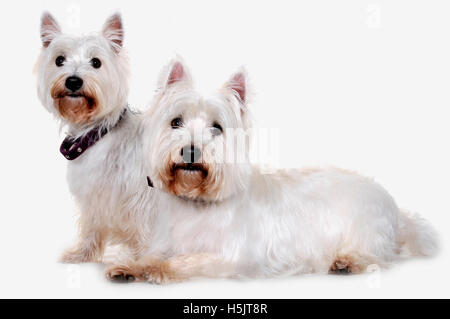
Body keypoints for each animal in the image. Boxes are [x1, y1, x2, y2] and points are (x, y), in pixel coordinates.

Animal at [36, 11, 152, 262]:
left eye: (96, 62)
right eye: (59, 60)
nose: (73, 81)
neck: (95, 134)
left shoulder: (140, 197)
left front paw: (142, 262)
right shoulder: (93, 195)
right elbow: (92, 226)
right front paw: (82, 255)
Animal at [106, 60, 440, 284]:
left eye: (217, 128)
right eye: (176, 122)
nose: (191, 151)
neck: (196, 202)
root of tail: (394, 208)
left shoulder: (233, 258)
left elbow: (187, 261)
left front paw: (157, 271)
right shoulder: (163, 242)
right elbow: (151, 255)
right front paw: (130, 267)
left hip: (363, 227)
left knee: (378, 256)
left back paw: (346, 262)